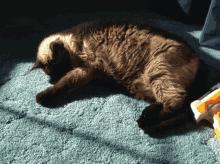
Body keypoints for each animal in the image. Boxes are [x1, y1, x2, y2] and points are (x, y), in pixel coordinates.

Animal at [29, 18, 206, 133]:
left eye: (62, 65)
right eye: (57, 70)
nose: (64, 70)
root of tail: (197, 56)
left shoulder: (86, 70)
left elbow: (63, 84)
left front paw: (42, 96)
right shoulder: (88, 71)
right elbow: (65, 83)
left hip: (157, 72)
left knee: (177, 102)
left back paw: (144, 120)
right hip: (141, 87)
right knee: (180, 108)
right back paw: (147, 119)